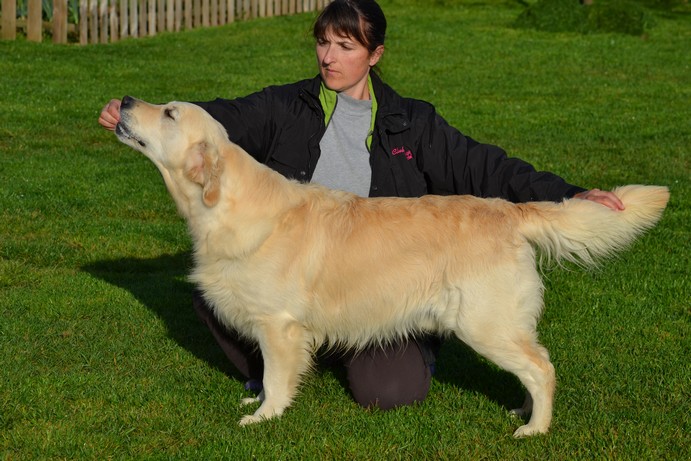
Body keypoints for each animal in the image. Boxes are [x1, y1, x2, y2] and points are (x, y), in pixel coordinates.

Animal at [113, 96, 672, 434]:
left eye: (169, 113)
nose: (125, 101)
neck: (223, 204)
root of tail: (509, 210)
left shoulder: (278, 325)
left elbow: (275, 376)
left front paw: (266, 416)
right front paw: (258, 405)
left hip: (485, 323)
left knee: (543, 367)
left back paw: (535, 427)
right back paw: (524, 409)